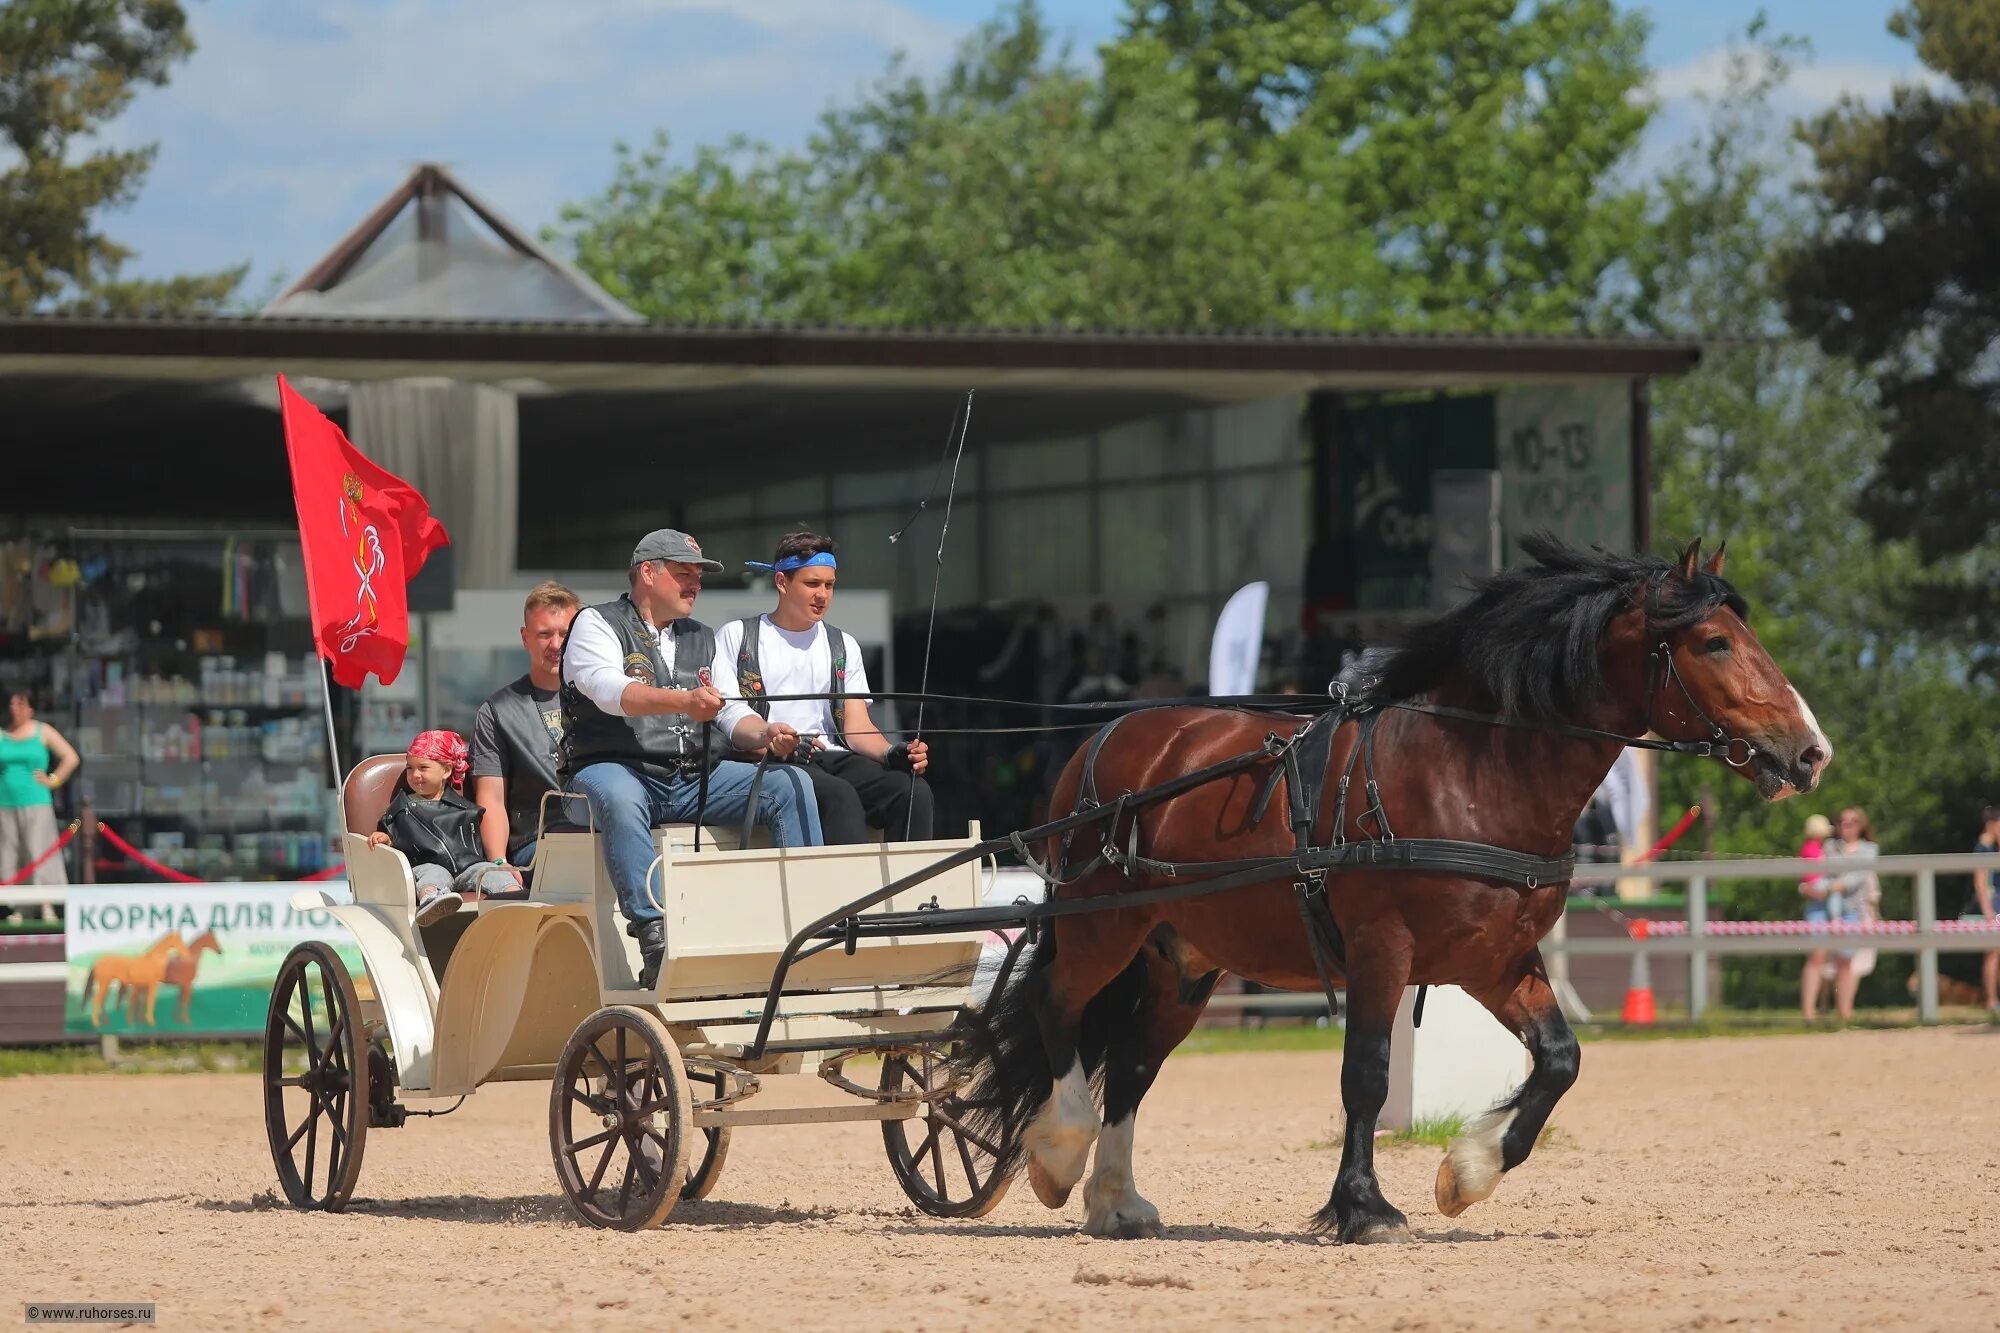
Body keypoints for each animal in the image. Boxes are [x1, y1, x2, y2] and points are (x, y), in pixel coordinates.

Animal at [952, 536, 1832, 1240]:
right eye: (1714, 641)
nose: (1810, 751)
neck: (1475, 770)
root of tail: (1106, 736)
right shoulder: (1383, 950)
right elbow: (1367, 1077)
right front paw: (1364, 1207)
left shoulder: (1495, 960)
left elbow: (1560, 1058)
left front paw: (1468, 1170)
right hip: (1103, 926)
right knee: (1058, 1006)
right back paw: (1059, 1154)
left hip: (1182, 962)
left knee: (1133, 1065)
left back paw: (1116, 1200)